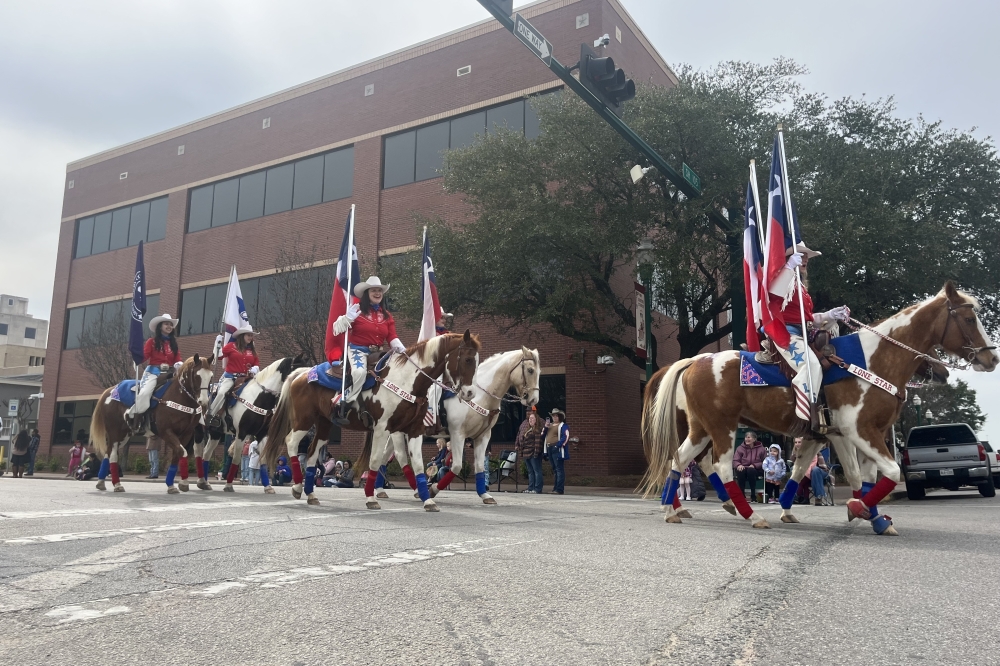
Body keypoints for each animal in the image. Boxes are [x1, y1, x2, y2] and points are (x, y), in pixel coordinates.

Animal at [91, 356, 216, 490]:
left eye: (211, 376)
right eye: (197, 376)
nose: (204, 401)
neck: (179, 397)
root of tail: (110, 390)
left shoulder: (186, 433)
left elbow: (178, 454)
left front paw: (175, 484)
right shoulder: (166, 431)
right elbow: (182, 452)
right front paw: (181, 484)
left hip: (123, 435)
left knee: (108, 453)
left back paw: (101, 482)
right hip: (114, 432)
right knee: (113, 455)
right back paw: (117, 485)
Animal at [264, 330, 482, 506]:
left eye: (477, 361)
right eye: (467, 360)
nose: (470, 393)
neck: (407, 380)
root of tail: (303, 373)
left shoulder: (414, 430)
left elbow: (418, 464)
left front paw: (428, 500)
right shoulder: (382, 428)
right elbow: (375, 460)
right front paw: (370, 498)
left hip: (324, 424)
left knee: (311, 453)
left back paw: (310, 494)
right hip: (304, 420)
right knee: (291, 442)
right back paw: (297, 487)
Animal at [370, 348, 544, 504]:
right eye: (530, 370)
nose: (533, 400)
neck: (480, 396)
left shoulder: (483, 436)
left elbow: (480, 467)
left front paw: (485, 495)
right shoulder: (458, 434)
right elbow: (456, 466)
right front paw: (433, 489)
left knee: (384, 456)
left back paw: (380, 490)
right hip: (398, 433)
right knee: (400, 456)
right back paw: (416, 490)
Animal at [644, 282, 996, 532]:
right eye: (968, 318)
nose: (991, 358)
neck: (872, 361)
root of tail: (695, 361)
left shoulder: (832, 435)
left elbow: (815, 472)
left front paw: (874, 518)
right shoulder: (855, 431)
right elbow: (875, 474)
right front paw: (859, 509)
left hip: (702, 428)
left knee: (682, 459)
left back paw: (672, 510)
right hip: (723, 427)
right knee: (720, 466)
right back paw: (751, 515)